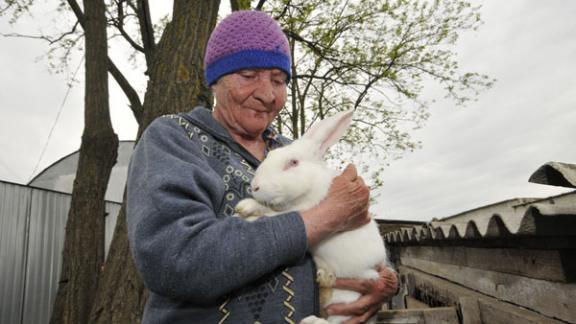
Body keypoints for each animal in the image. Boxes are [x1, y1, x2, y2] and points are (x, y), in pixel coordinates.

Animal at [236, 110, 390, 322]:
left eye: (293, 162)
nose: (255, 187)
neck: (312, 184)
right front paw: (245, 209)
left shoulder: (305, 209)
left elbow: (274, 213)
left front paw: (246, 211)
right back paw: (324, 276)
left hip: (348, 294)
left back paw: (310, 318)